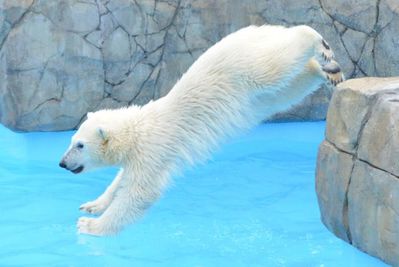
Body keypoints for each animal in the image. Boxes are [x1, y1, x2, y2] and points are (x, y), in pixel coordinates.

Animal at [58, 25, 344, 237]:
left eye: (79, 145)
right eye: (72, 141)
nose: (62, 163)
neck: (139, 127)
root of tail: (258, 30)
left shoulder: (154, 149)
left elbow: (139, 193)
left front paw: (90, 226)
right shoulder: (142, 154)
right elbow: (121, 180)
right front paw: (92, 205)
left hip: (245, 69)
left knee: (276, 64)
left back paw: (318, 42)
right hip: (262, 95)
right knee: (291, 86)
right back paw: (329, 72)